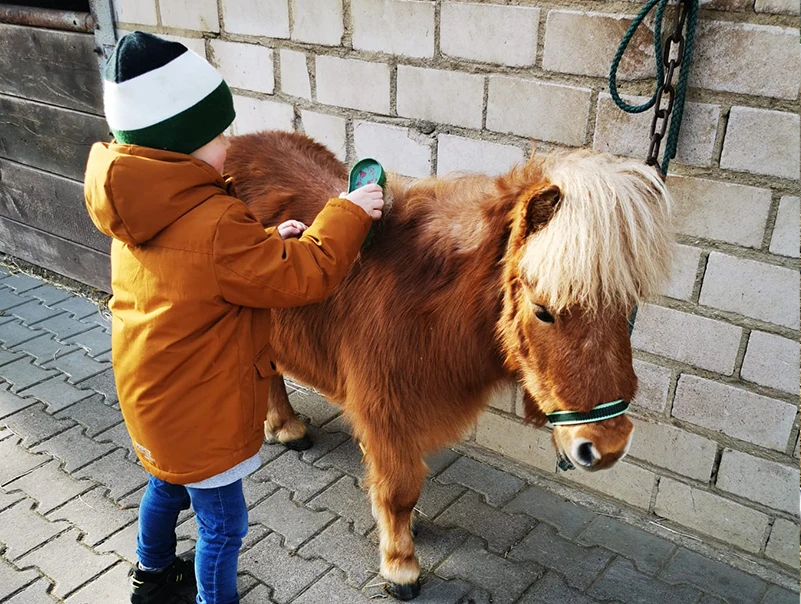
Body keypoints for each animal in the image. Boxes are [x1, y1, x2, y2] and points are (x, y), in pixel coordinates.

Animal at [225, 130, 674, 600]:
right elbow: (399, 488)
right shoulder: (386, 412)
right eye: (543, 311)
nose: (607, 446)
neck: (429, 305)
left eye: (627, 307)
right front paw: (400, 566)